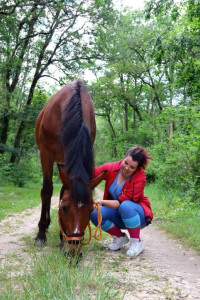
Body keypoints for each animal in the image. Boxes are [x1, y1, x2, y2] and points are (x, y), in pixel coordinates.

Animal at [34, 79, 104, 255]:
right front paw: (41, 234)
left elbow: (61, 192)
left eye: (91, 210)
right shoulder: (45, 153)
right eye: (64, 208)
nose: (73, 251)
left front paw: (61, 238)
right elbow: (47, 190)